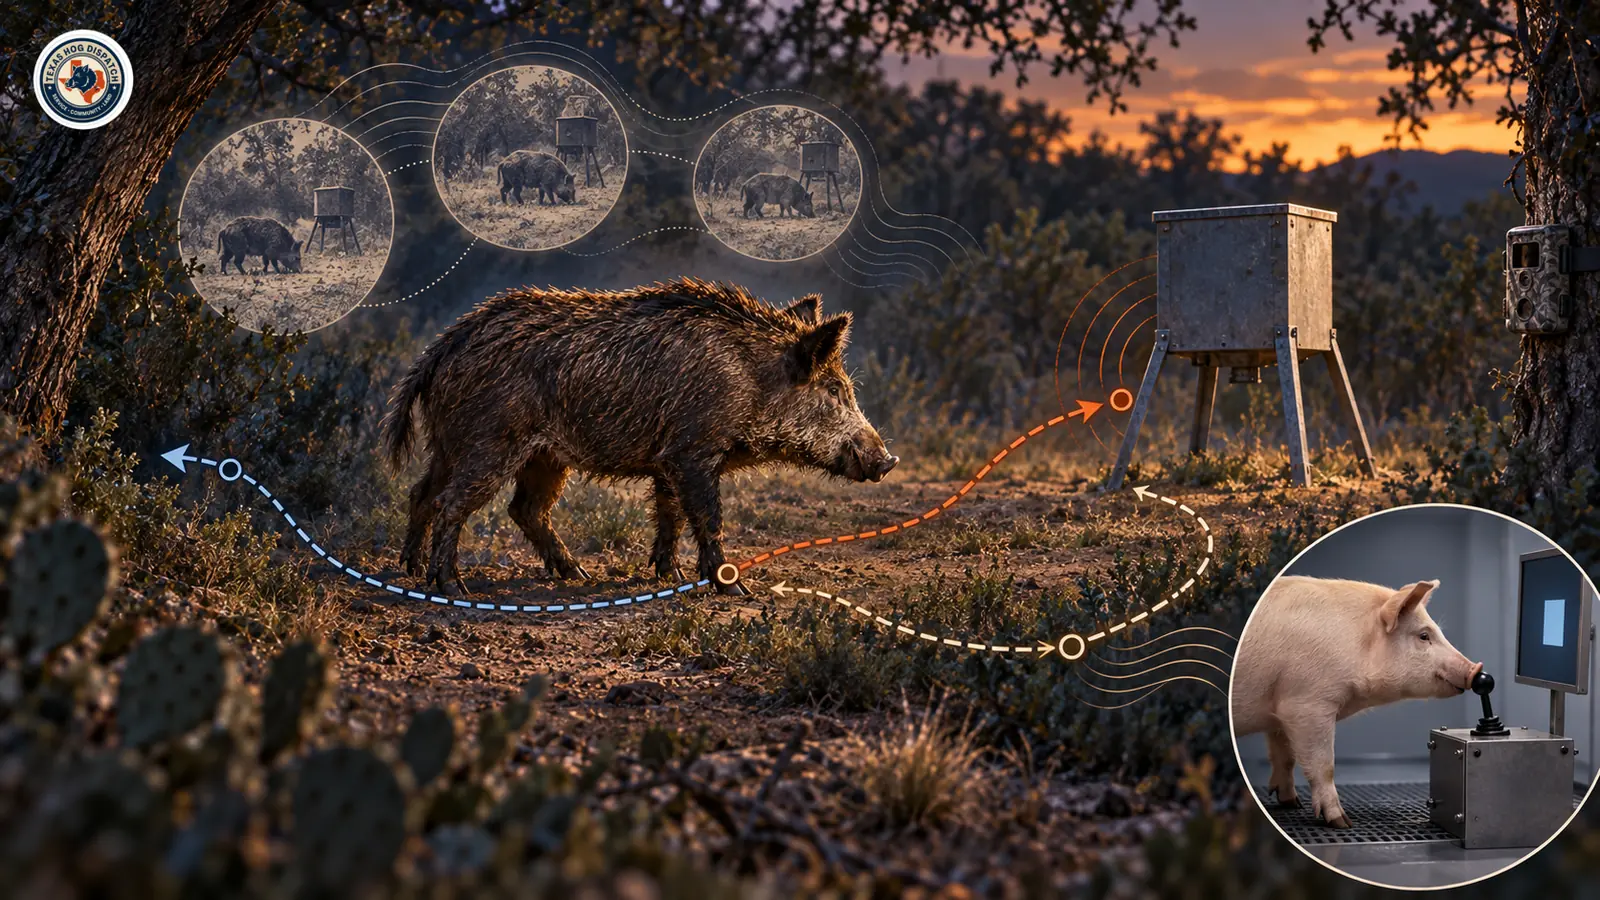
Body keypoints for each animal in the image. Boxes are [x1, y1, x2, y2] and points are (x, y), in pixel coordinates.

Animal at [380, 278, 899, 598]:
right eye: (834, 390)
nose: (887, 460)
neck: (751, 381)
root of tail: (444, 345)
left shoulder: (669, 458)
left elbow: (670, 516)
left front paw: (668, 575)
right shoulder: (693, 450)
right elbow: (707, 517)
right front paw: (734, 588)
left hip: (507, 451)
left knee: (464, 498)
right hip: (490, 441)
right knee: (452, 502)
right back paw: (450, 586)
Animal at [1231, 576, 1482, 828]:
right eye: (1423, 636)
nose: (1476, 669)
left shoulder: (1281, 707)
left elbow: (1285, 756)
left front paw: (1292, 803)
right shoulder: (1306, 703)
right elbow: (1324, 765)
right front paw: (1342, 822)